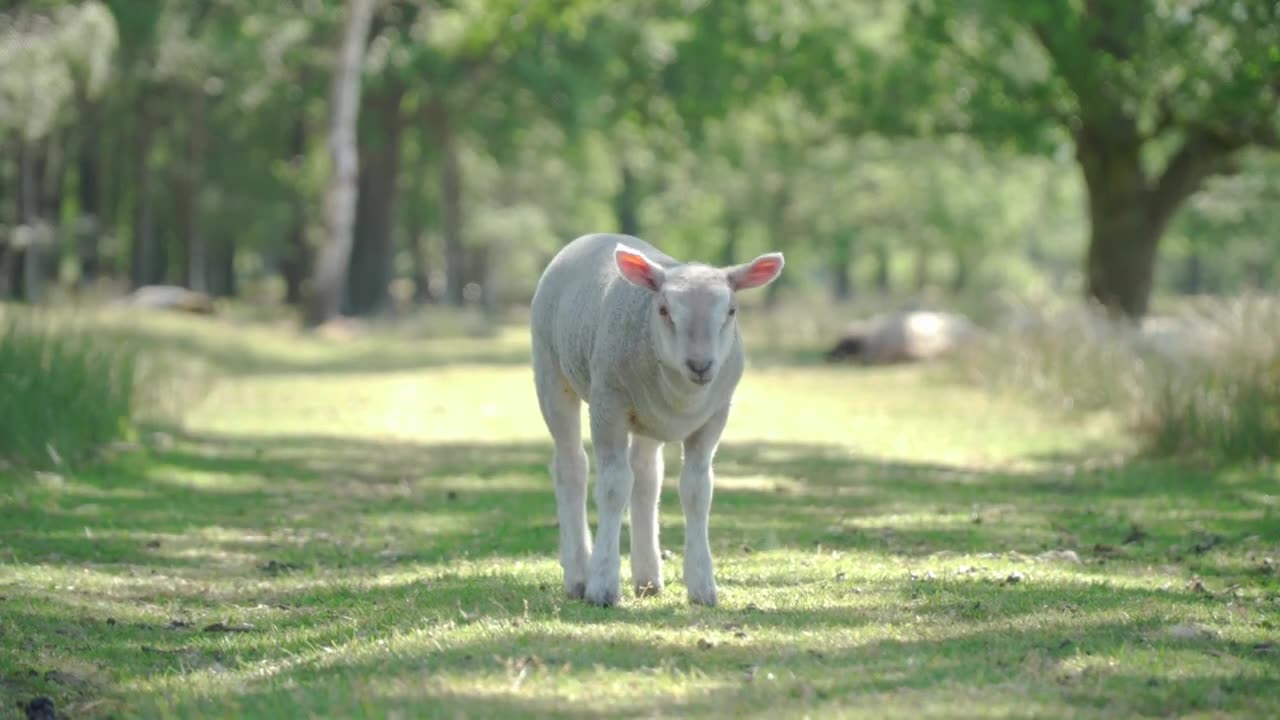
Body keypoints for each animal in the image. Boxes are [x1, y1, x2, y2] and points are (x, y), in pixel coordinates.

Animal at [527, 233, 778, 602]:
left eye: (731, 310)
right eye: (663, 310)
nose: (700, 365)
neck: (682, 396)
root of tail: (591, 237)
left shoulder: (715, 414)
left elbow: (697, 490)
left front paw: (703, 585)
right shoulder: (608, 404)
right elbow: (614, 486)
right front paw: (603, 586)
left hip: (648, 416)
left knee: (646, 477)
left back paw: (647, 577)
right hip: (551, 371)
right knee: (571, 466)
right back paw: (579, 576)